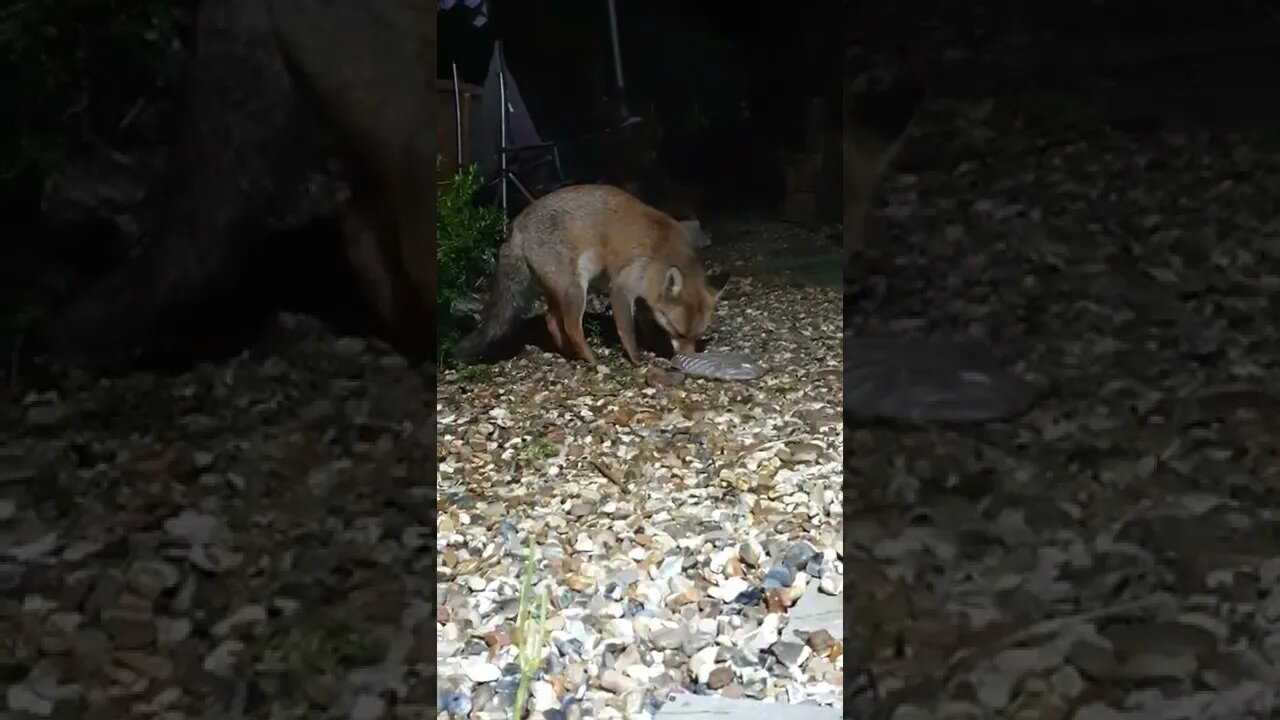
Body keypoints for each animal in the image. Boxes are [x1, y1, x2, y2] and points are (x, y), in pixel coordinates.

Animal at [455, 184, 727, 363]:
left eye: (696, 336)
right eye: (679, 332)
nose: (690, 361)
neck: (662, 251)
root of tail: (517, 225)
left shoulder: (643, 297)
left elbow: (647, 325)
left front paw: (653, 345)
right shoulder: (622, 288)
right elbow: (627, 331)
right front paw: (637, 358)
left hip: (559, 289)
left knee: (551, 320)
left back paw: (570, 354)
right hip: (575, 289)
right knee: (571, 326)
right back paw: (591, 359)